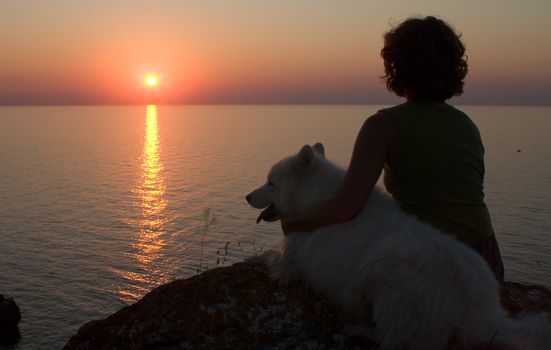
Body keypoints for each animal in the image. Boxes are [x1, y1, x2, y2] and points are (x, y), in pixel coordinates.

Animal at [248, 143, 548, 350]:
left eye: (270, 183)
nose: (247, 196)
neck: (316, 201)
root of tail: (480, 313)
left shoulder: (292, 257)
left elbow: (273, 260)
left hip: (385, 263)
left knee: (395, 339)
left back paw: (360, 329)